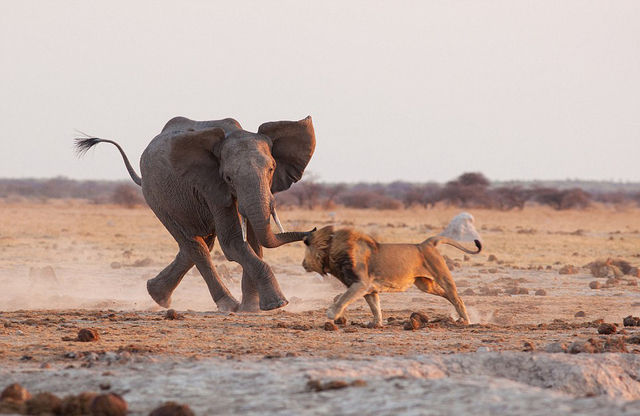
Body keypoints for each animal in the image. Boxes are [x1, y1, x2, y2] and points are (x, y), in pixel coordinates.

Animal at [76, 115, 316, 310]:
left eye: (271, 169)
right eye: (228, 177)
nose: (312, 230)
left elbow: (254, 242)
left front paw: (253, 309)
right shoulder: (211, 185)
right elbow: (233, 243)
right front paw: (277, 304)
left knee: (199, 243)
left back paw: (157, 295)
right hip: (156, 198)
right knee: (195, 245)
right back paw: (227, 305)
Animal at [304, 228, 480, 324]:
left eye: (308, 252)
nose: (303, 263)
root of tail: (426, 243)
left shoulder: (361, 284)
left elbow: (344, 297)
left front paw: (332, 313)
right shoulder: (369, 288)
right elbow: (375, 306)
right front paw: (376, 323)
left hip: (443, 277)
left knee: (458, 299)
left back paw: (467, 321)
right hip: (425, 285)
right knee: (450, 296)